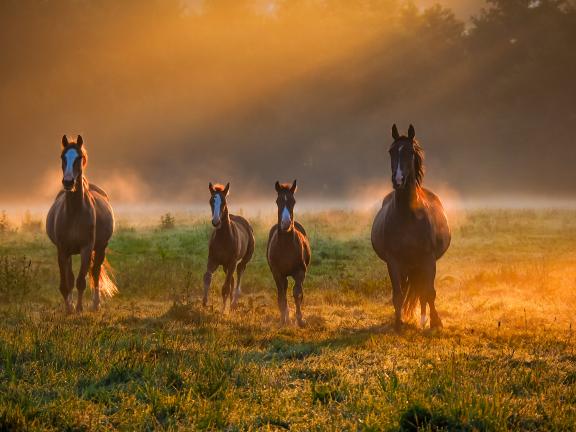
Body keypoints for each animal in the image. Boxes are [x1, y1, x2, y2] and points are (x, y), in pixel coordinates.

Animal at [45, 135, 117, 314]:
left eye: (80, 157)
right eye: (62, 157)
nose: (68, 182)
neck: (74, 212)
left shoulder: (86, 249)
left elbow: (81, 281)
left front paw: (78, 308)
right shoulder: (62, 250)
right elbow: (66, 283)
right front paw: (69, 308)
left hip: (100, 248)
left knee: (95, 272)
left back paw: (95, 304)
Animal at [204, 182, 255, 310]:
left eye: (224, 202)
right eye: (211, 201)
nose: (216, 221)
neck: (224, 238)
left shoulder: (232, 262)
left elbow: (225, 288)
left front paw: (223, 311)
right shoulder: (213, 260)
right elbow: (207, 277)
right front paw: (204, 302)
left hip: (242, 260)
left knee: (239, 272)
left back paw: (233, 304)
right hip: (225, 266)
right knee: (231, 279)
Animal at [268, 180, 312, 328]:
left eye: (293, 201)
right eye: (277, 201)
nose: (286, 223)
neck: (286, 246)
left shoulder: (300, 271)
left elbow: (297, 293)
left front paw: (300, 320)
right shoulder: (277, 272)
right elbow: (281, 295)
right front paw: (283, 321)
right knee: (282, 291)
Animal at [372, 125, 452, 330]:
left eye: (410, 152)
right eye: (391, 151)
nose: (398, 180)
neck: (408, 216)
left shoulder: (428, 259)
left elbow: (429, 292)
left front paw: (435, 322)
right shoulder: (393, 262)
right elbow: (398, 294)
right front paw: (398, 324)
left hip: (419, 264)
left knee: (423, 291)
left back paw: (423, 319)